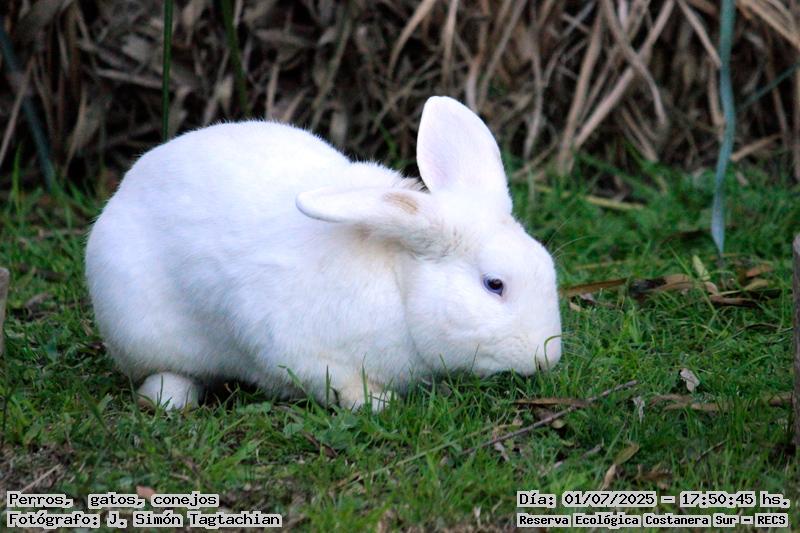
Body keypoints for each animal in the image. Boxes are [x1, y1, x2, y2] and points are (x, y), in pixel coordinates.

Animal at [85, 96, 562, 411]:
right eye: (494, 284)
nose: (546, 359)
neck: (399, 285)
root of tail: (123, 193)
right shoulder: (304, 353)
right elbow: (344, 386)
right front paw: (380, 403)